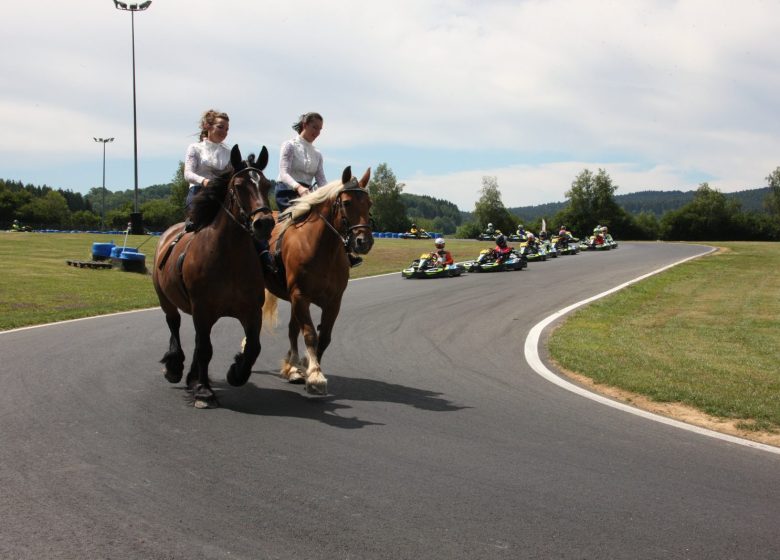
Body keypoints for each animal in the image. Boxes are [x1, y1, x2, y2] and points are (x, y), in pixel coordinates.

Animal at [151, 144, 276, 406]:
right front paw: (204, 391)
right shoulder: (202, 309)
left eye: (267, 185)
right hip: (166, 299)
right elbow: (205, 349)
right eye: (239, 186)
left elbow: (253, 348)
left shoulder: (251, 312)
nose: (264, 223)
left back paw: (192, 377)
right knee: (174, 324)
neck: (229, 258)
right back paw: (175, 368)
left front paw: (236, 372)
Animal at [260, 165, 374, 394]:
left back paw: (292, 368)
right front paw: (315, 376)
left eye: (369, 204)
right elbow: (310, 334)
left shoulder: (333, 302)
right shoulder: (300, 297)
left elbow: (324, 338)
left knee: (292, 330)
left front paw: (306, 367)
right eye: (346, 202)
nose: (363, 242)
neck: (321, 249)